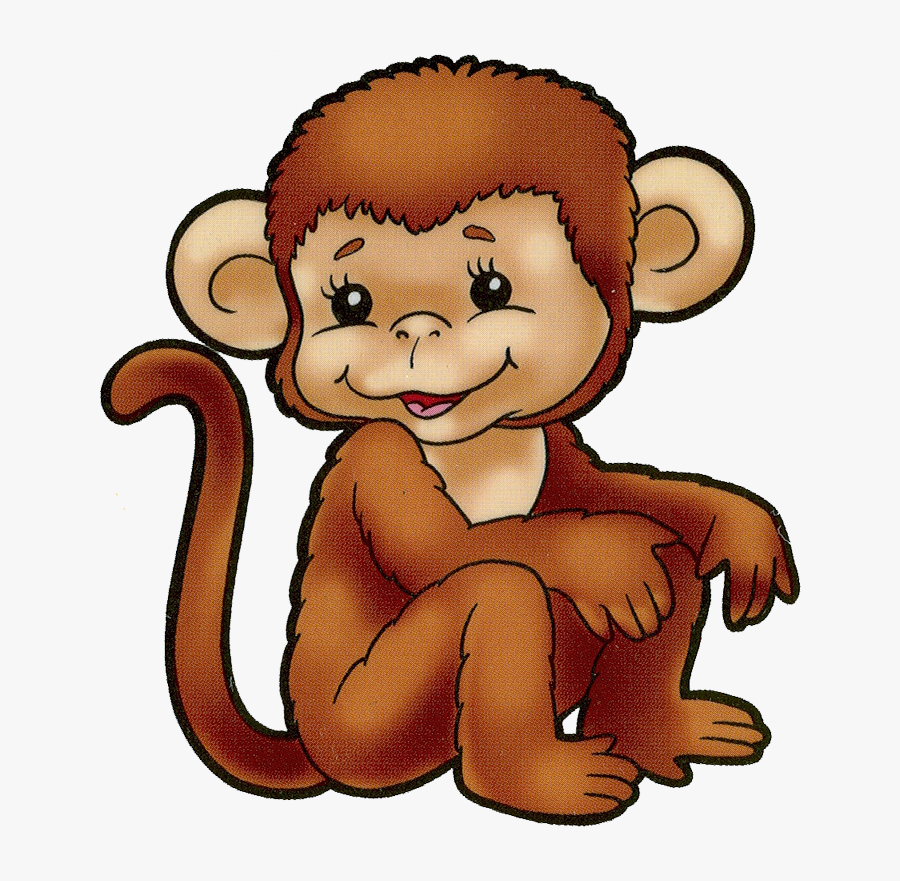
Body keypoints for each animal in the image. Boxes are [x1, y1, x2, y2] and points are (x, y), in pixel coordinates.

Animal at [103, 57, 798, 823]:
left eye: (493, 288)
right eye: (349, 302)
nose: (417, 328)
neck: (472, 446)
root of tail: (312, 745)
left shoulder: (558, 442)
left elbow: (612, 488)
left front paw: (736, 518)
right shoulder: (376, 455)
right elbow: (441, 547)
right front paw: (598, 554)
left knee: (668, 555)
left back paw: (654, 731)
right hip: (372, 723)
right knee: (500, 586)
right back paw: (541, 779)